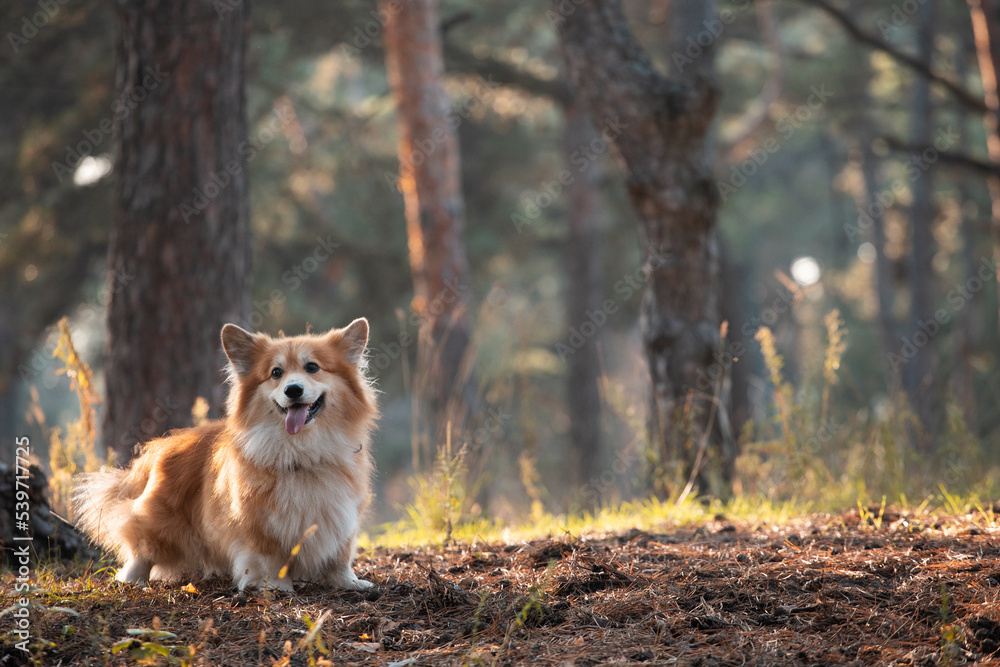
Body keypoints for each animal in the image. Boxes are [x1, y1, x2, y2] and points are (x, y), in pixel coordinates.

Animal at [74, 320, 378, 592]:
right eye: (276, 373)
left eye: (312, 367)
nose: (293, 390)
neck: (303, 451)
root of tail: (159, 447)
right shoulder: (259, 524)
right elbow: (269, 559)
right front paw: (276, 586)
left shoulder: (340, 516)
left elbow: (340, 557)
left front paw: (350, 582)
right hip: (159, 525)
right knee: (140, 550)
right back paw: (133, 580)